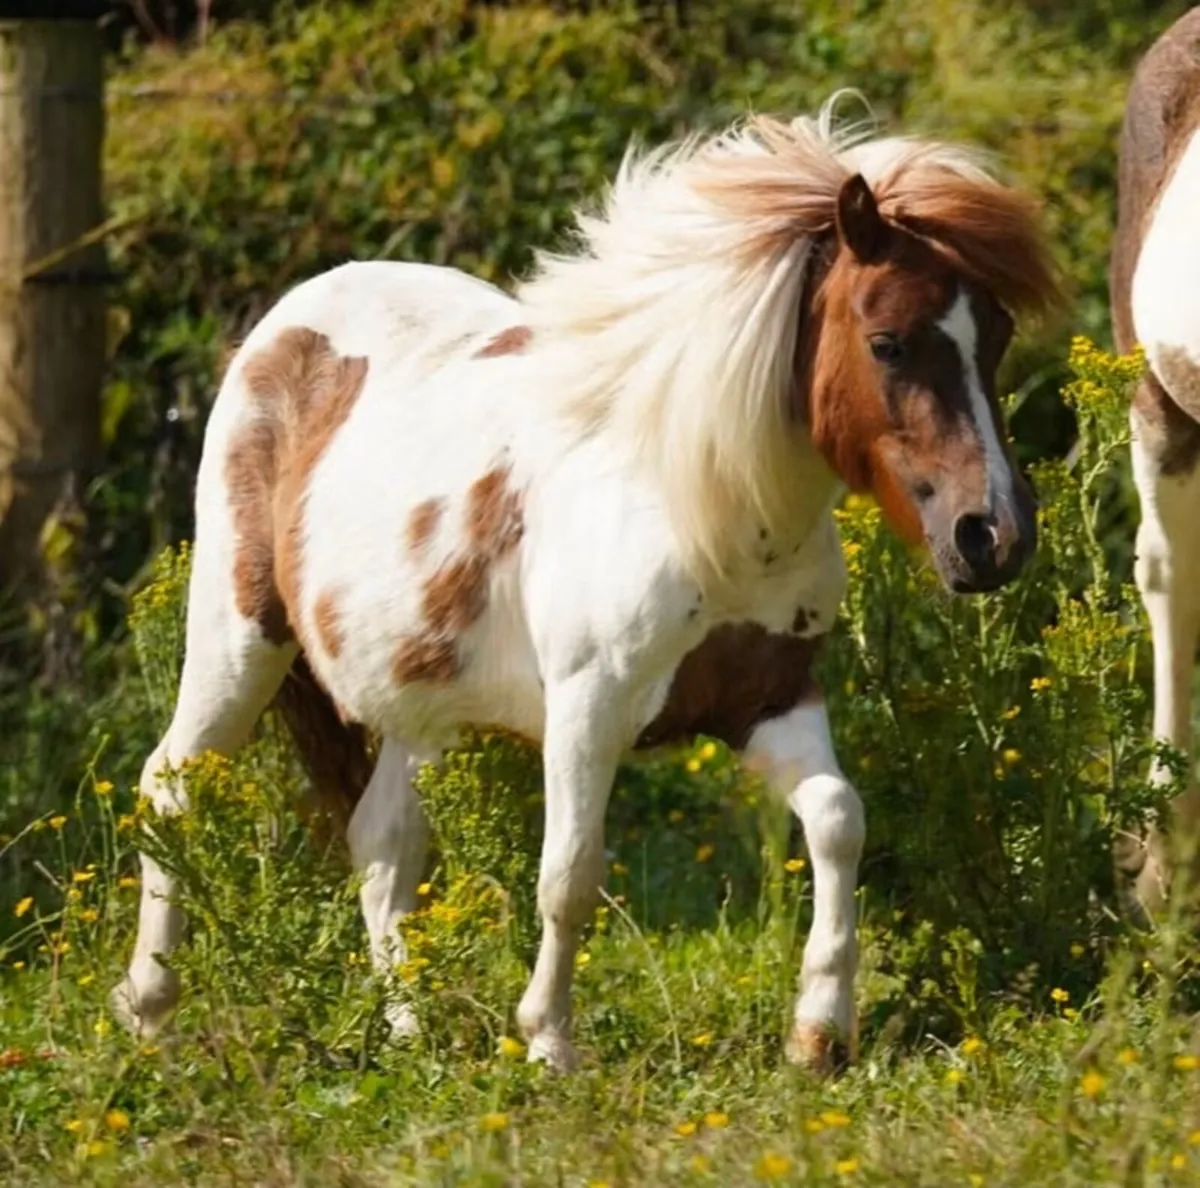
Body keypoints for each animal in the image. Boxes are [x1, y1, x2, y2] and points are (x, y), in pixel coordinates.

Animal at [112, 96, 1060, 1075]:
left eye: (996, 337)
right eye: (888, 342)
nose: (993, 535)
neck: (703, 505)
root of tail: (281, 330)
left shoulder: (769, 697)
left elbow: (839, 819)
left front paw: (819, 1034)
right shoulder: (589, 708)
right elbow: (571, 873)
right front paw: (549, 1042)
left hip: (418, 702)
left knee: (382, 842)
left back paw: (411, 1031)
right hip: (239, 639)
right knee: (171, 788)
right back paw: (150, 1011)